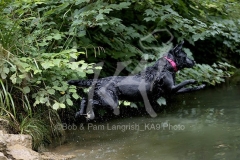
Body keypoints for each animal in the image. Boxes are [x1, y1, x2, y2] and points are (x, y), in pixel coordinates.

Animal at [68, 41, 205, 119]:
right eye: (185, 56)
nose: (194, 61)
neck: (167, 66)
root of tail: (99, 80)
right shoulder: (171, 89)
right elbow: (185, 82)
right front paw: (193, 80)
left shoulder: (172, 91)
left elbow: (188, 89)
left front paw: (200, 86)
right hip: (111, 102)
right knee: (91, 102)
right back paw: (90, 114)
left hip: (100, 96)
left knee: (84, 98)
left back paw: (80, 112)